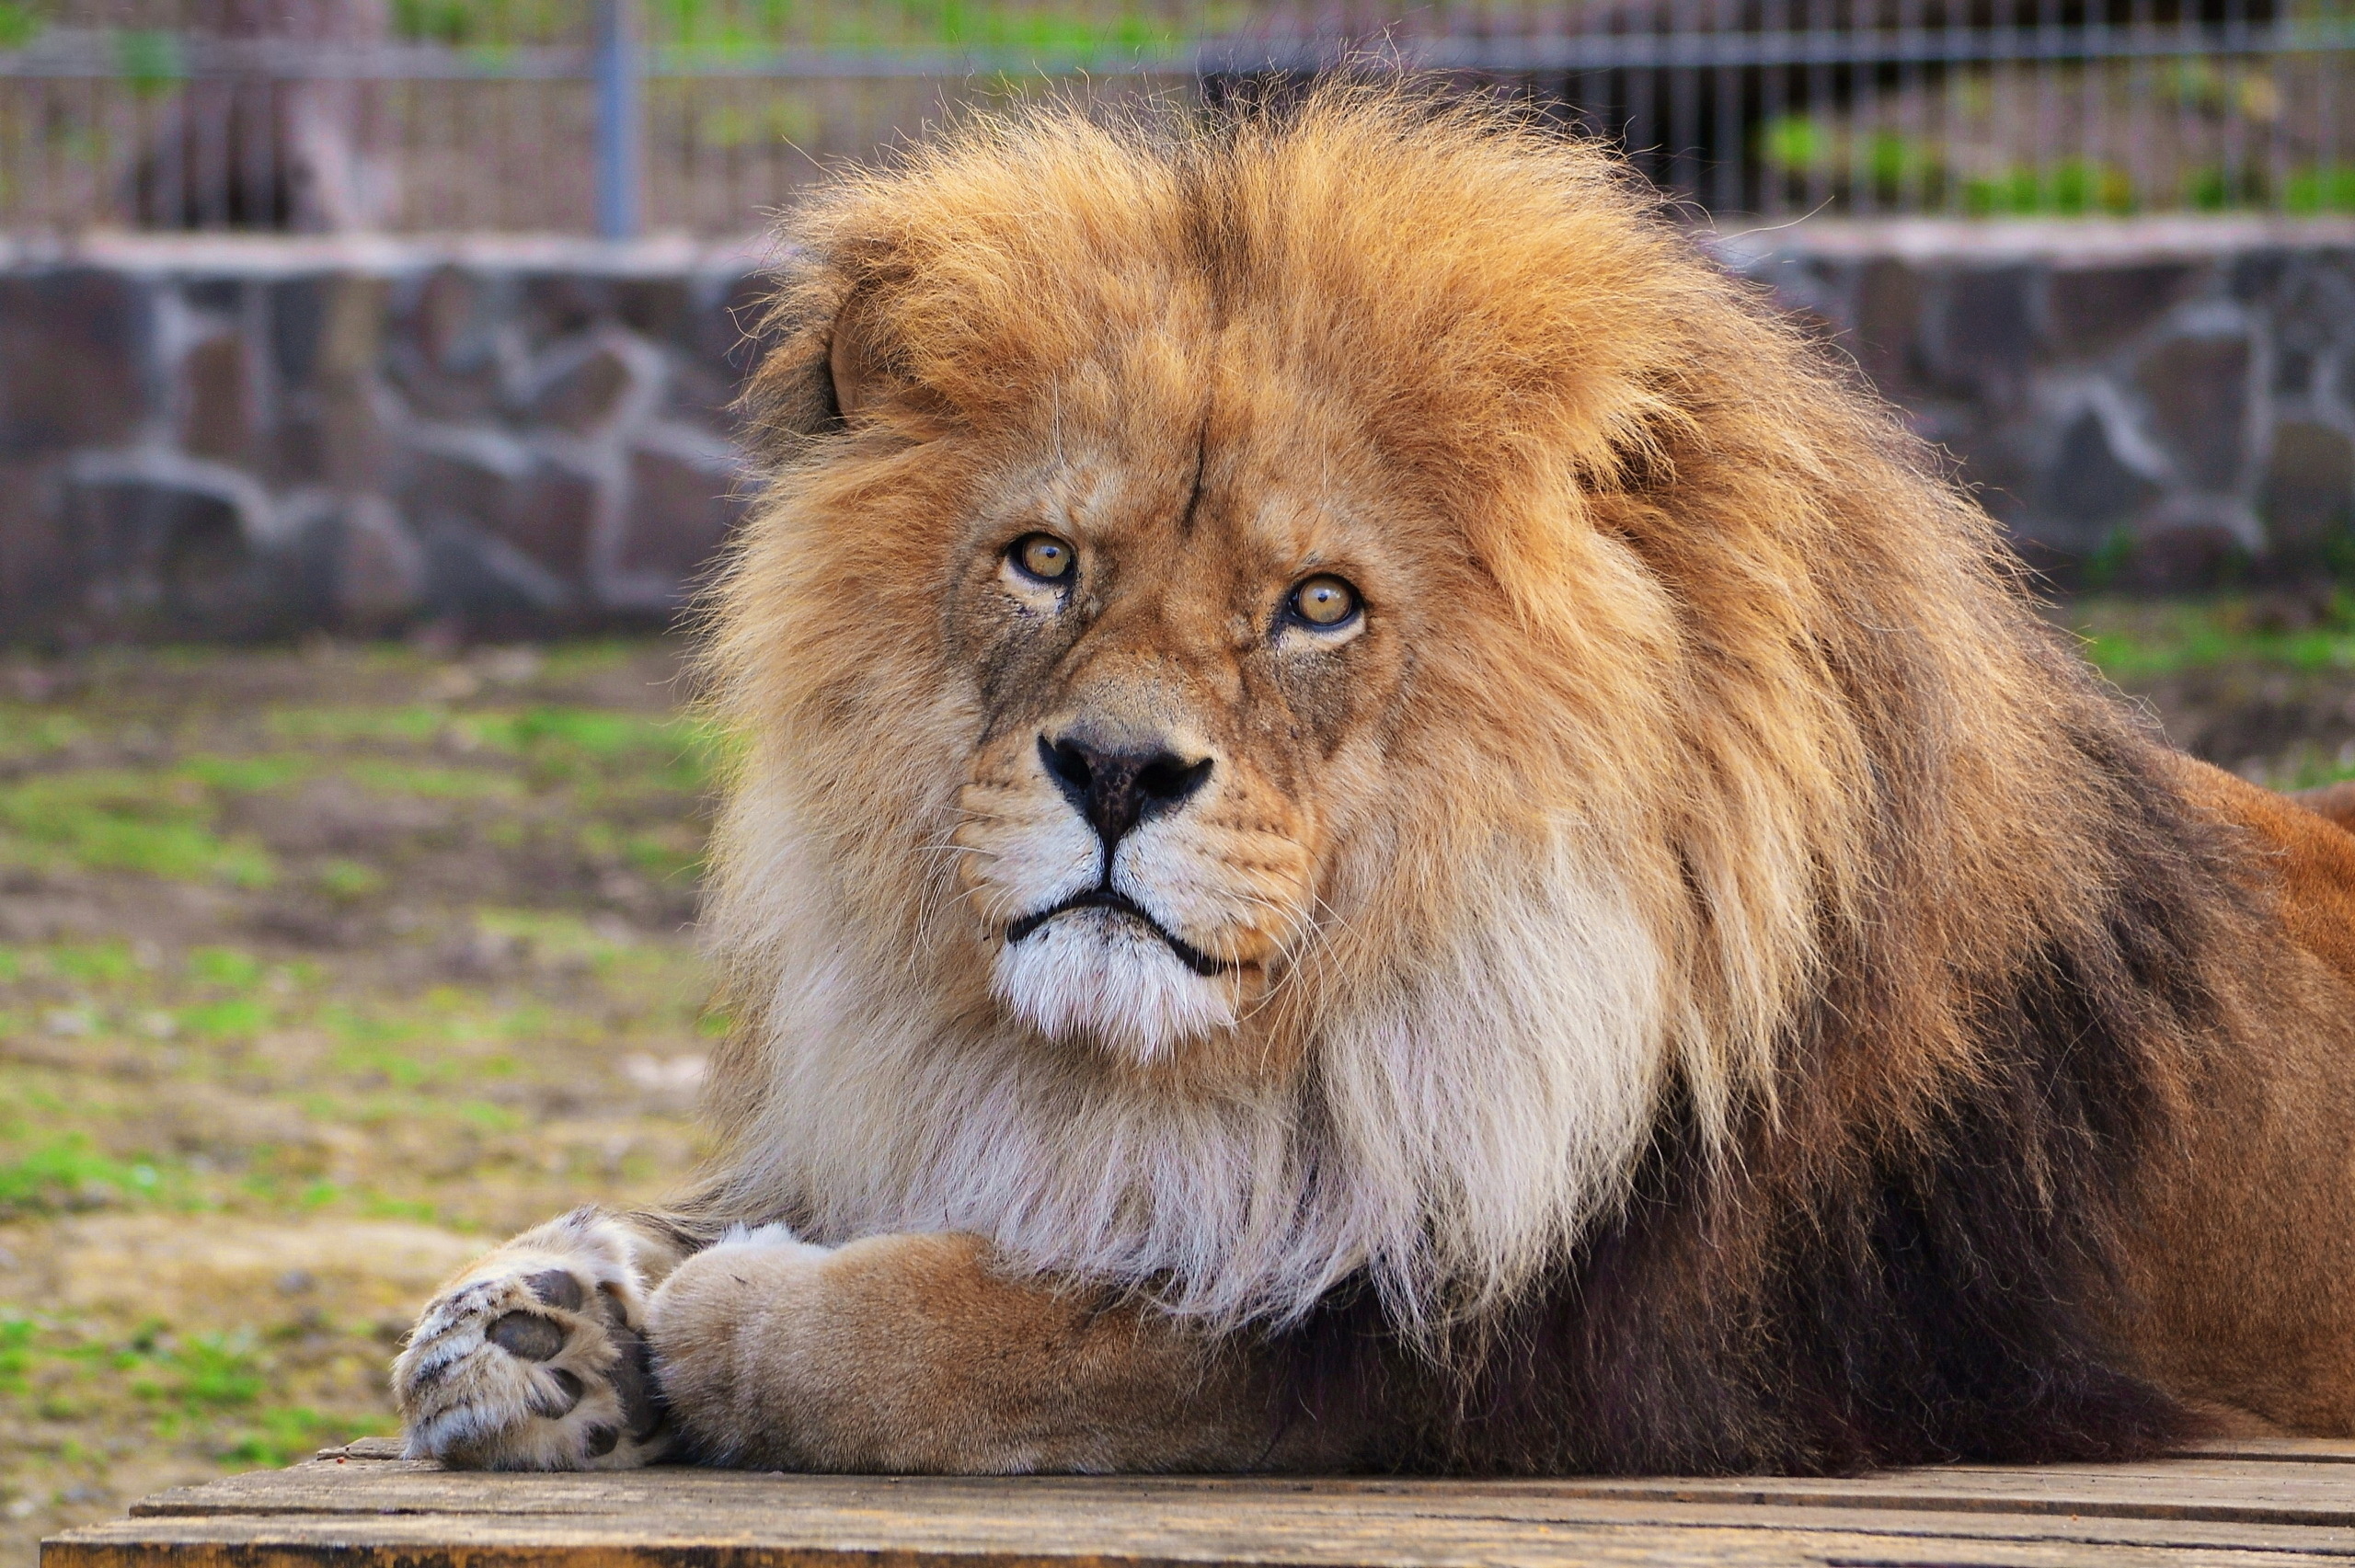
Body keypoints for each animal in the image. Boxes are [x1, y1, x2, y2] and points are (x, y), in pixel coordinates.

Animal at [390, 91, 2355, 1469]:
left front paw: (728, 1320)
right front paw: (538, 1316)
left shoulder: (1549, 1349)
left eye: (1319, 604)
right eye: (1044, 563)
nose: (1114, 769)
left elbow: (1024, 1335)